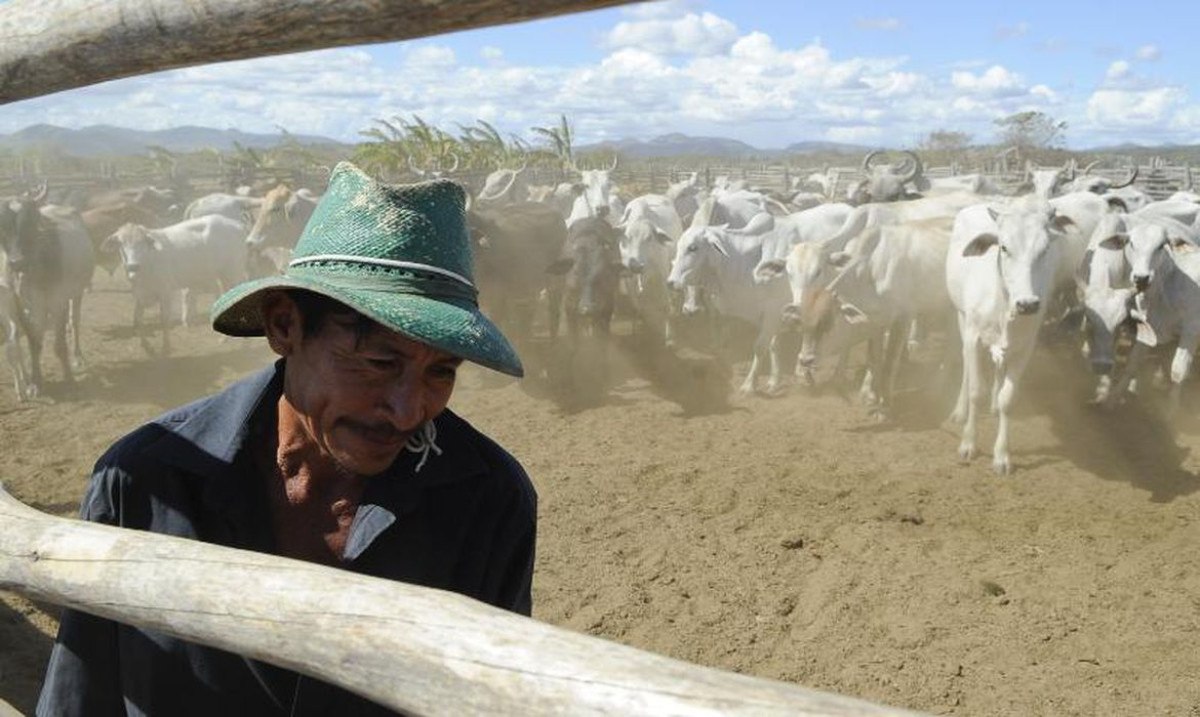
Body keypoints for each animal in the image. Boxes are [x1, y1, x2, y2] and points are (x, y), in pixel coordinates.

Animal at [105, 218, 248, 354]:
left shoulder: (166, 292)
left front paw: (166, 347)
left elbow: (164, 320)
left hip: (232, 273)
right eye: (120, 243)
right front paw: (146, 346)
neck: (148, 262)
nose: (133, 266)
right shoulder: (140, 295)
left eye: (142, 242)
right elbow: (137, 319)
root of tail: (237, 225)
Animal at [945, 199, 1080, 474]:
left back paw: (994, 406)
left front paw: (1002, 456)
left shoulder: (1024, 347)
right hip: (961, 317)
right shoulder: (973, 337)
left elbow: (1008, 398)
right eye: (1004, 247)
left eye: (1044, 248)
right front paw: (968, 443)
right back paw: (960, 410)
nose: (1027, 304)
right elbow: (976, 390)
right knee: (966, 366)